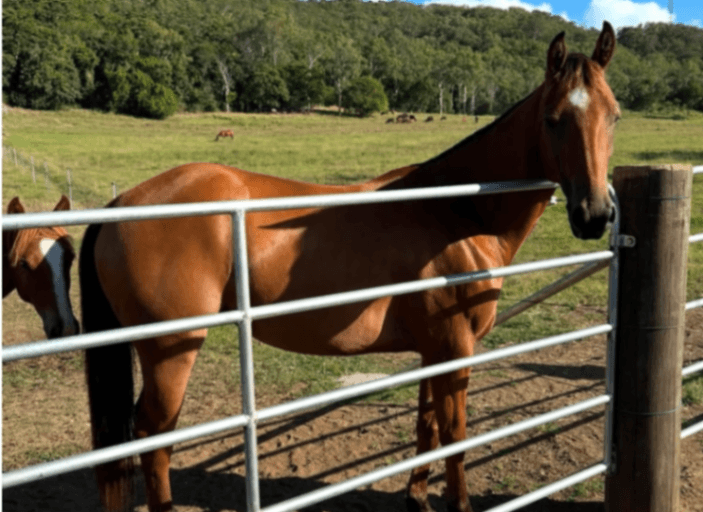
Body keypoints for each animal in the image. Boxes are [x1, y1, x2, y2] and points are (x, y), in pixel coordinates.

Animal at [80, 23, 619, 512]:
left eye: (613, 116)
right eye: (553, 119)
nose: (594, 215)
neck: (457, 210)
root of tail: (123, 203)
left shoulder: (433, 350)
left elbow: (426, 426)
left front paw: (416, 497)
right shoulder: (456, 348)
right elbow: (456, 436)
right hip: (170, 353)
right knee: (152, 435)